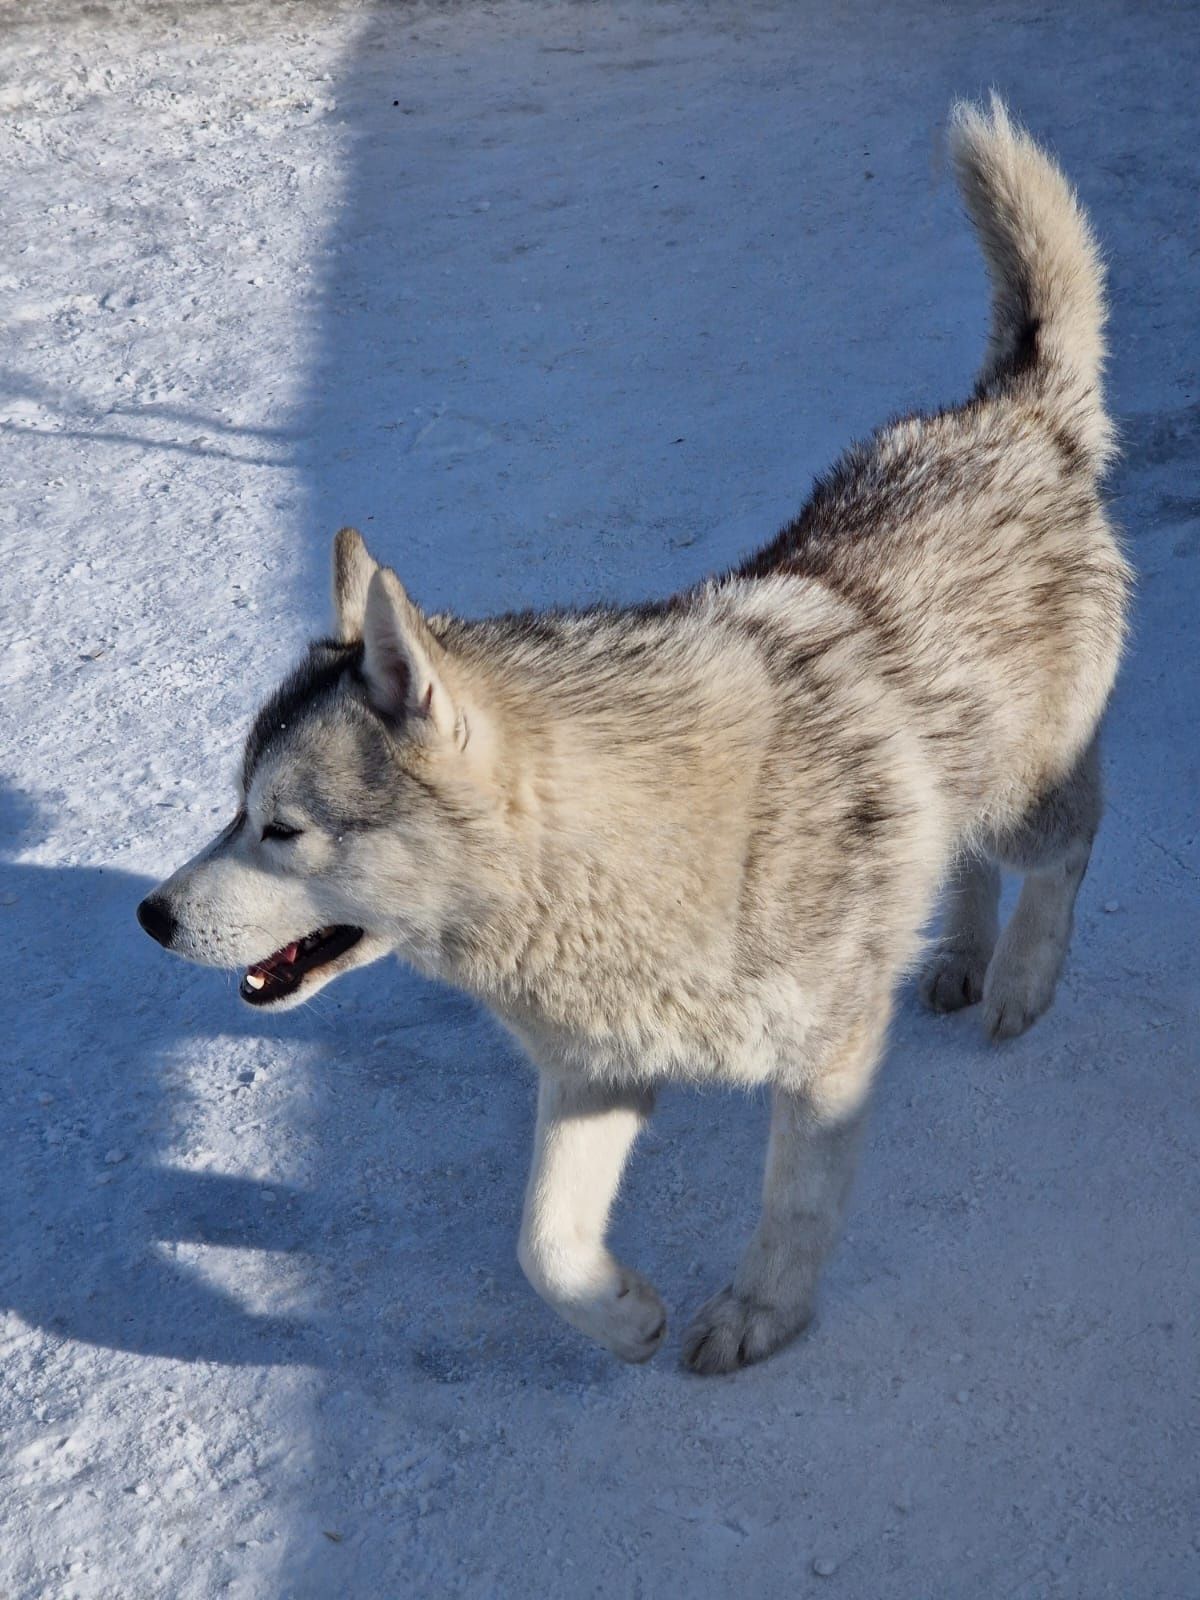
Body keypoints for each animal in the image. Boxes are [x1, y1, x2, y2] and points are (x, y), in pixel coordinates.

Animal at [138, 103, 1126, 1376]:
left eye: (282, 826)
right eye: (233, 806)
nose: (151, 915)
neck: (599, 864)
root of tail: (1010, 412)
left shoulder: (827, 1057)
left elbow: (791, 1208)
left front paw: (758, 1317)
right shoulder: (596, 1072)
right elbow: (542, 1245)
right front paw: (628, 1315)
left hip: (1022, 795)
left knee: (1067, 843)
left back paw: (1017, 978)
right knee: (959, 863)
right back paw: (954, 955)